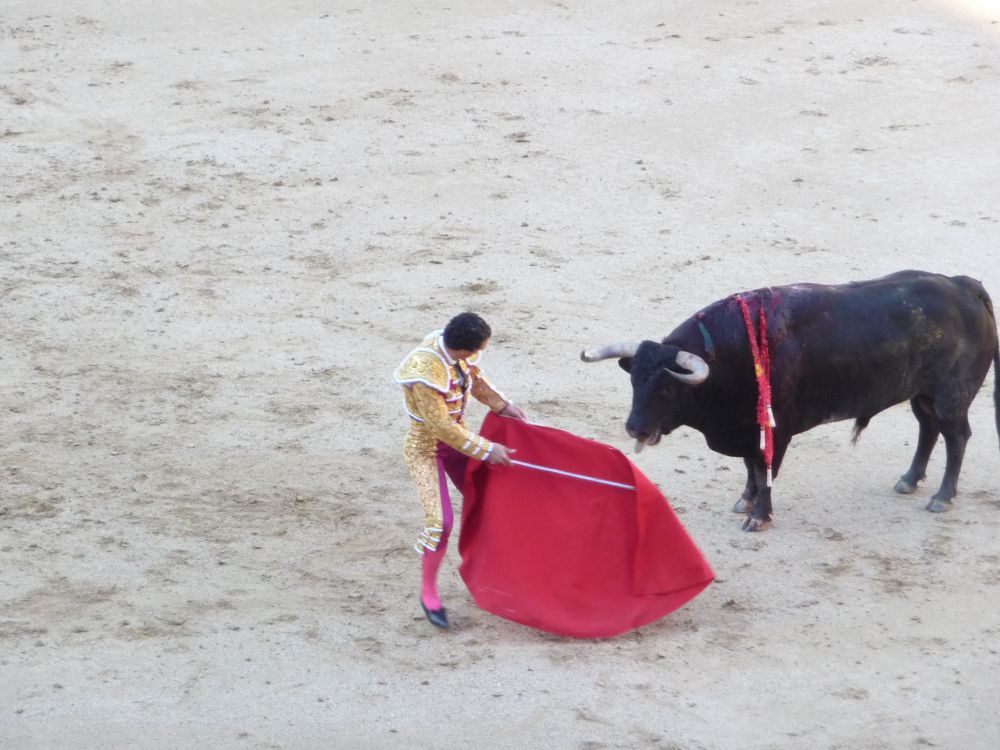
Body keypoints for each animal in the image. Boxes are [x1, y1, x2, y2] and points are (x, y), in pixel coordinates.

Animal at [581, 270, 1000, 531]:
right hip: (922, 393)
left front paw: (758, 517)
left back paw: (942, 497)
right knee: (929, 429)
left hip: (951, 395)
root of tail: (963, 285)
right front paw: (745, 501)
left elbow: (765, 471)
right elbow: (751, 469)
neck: (727, 358)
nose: (635, 428)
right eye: (634, 382)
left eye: (668, 388)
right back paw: (909, 481)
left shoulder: (773, 431)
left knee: (956, 436)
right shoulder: (747, 430)